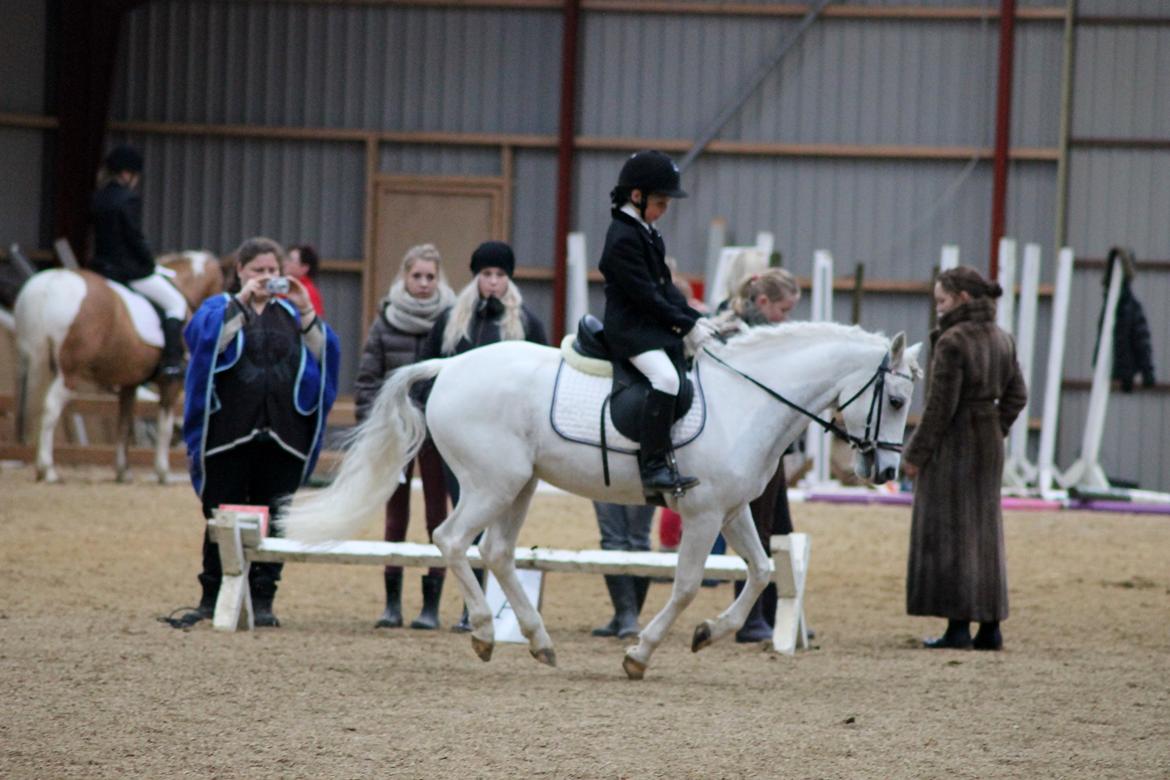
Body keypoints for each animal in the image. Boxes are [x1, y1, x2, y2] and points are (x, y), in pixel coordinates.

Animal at [15, 251, 223, 481]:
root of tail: (49, 285)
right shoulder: (172, 382)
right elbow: (164, 426)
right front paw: (163, 472)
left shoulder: (129, 381)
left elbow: (124, 422)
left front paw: (123, 471)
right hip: (69, 371)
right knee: (50, 408)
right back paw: (48, 469)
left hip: (33, 361)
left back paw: (40, 466)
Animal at [285, 322, 921, 678]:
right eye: (893, 399)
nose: (887, 470)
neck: (748, 399)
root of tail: (451, 365)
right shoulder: (702, 514)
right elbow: (686, 585)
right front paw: (641, 654)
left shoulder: (732, 510)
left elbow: (764, 570)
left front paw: (709, 633)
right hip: (492, 482)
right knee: (451, 540)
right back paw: (487, 632)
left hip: (519, 485)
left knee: (496, 553)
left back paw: (538, 643)